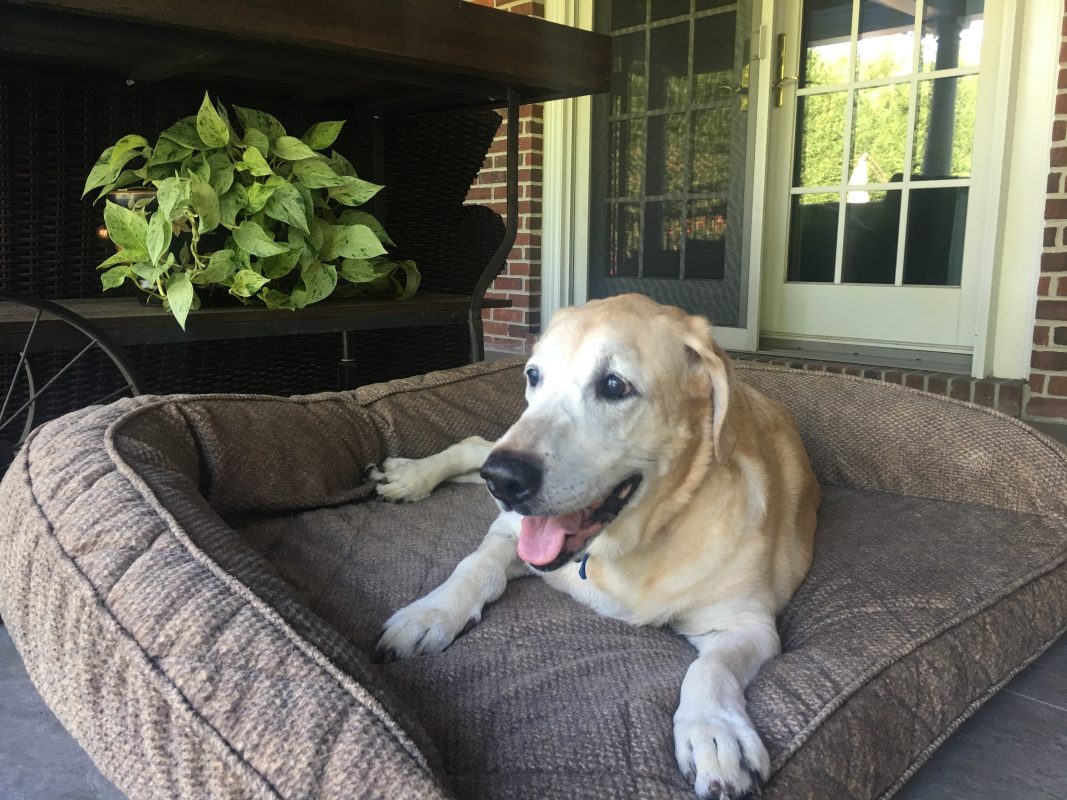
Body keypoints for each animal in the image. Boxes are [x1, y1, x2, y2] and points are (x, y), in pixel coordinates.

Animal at [371, 296, 819, 800]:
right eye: (533, 375)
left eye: (613, 385)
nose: (503, 480)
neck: (626, 546)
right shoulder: (510, 530)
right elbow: (474, 566)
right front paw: (429, 614)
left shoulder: (748, 625)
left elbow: (710, 669)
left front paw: (714, 732)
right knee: (475, 445)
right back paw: (411, 475)